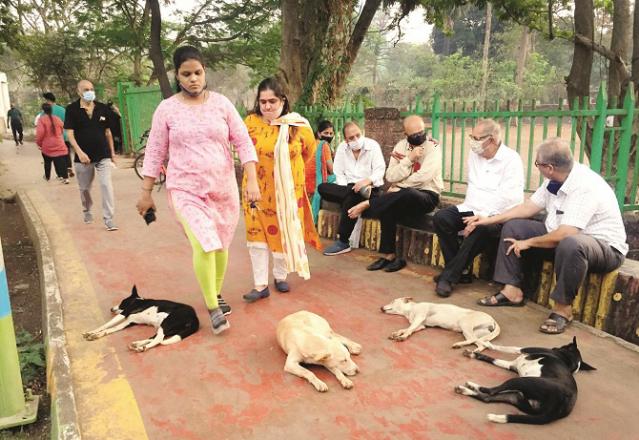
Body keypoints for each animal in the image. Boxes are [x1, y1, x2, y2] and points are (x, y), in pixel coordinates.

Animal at [456, 336, 596, 424]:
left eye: (565, 346)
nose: (555, 348)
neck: (567, 360)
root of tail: (558, 408)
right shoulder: (511, 365)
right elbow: (491, 358)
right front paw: (473, 354)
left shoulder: (522, 350)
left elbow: (505, 347)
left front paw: (484, 342)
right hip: (517, 397)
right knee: (487, 398)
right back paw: (464, 390)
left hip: (521, 381)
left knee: (491, 391)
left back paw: (472, 385)